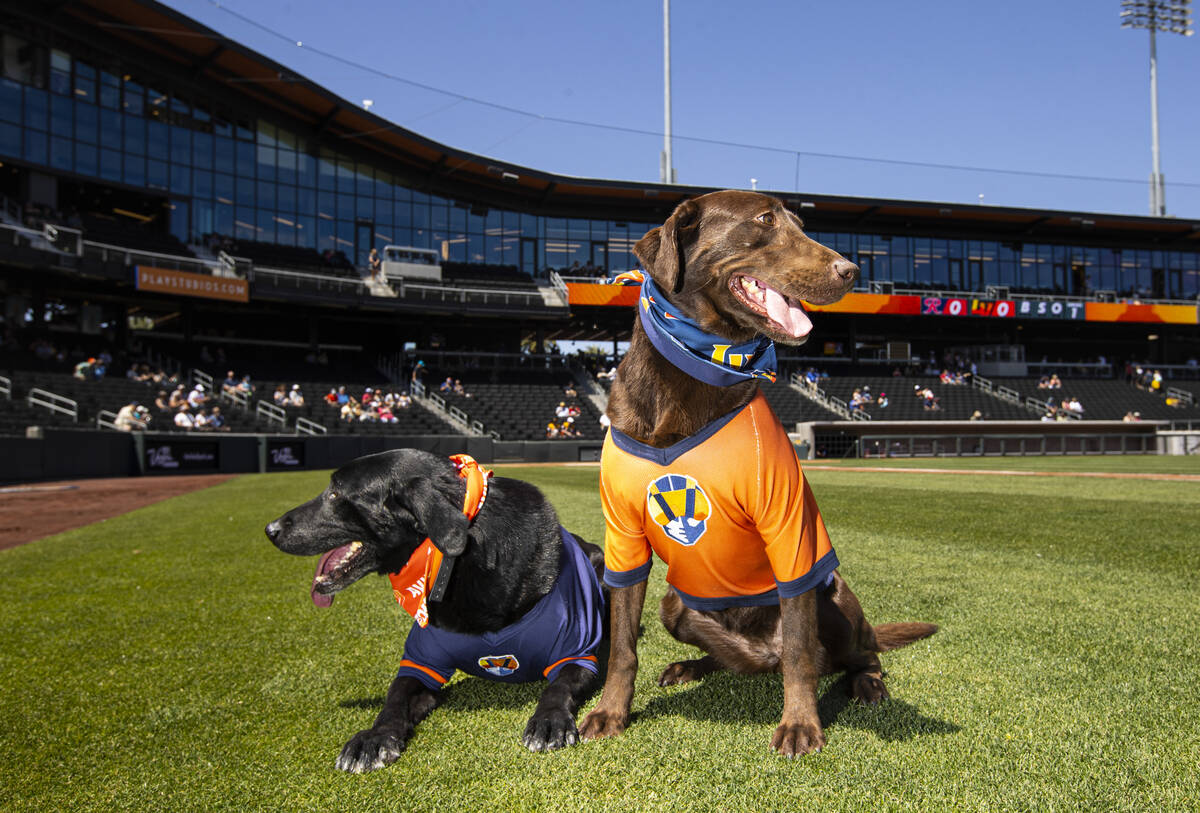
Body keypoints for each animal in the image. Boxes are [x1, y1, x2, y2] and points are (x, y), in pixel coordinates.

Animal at [265, 453, 600, 777]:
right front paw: (374, 737)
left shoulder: (576, 653)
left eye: (335, 493)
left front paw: (549, 720)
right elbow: (394, 697)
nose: (270, 530)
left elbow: (558, 687)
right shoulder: (420, 664)